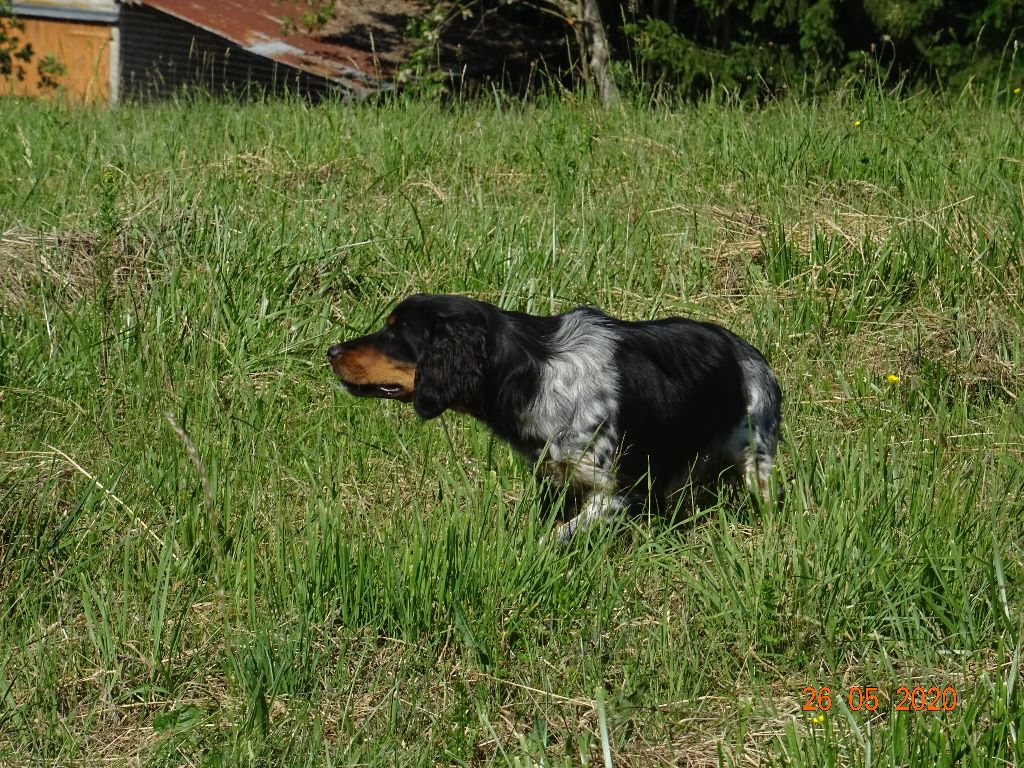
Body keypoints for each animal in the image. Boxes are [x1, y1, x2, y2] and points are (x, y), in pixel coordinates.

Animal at [327, 292, 782, 540]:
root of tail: (749, 354)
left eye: (395, 332)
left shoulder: (621, 491)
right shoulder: (555, 474)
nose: (331, 350)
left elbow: (559, 535)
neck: (533, 371)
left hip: (756, 456)